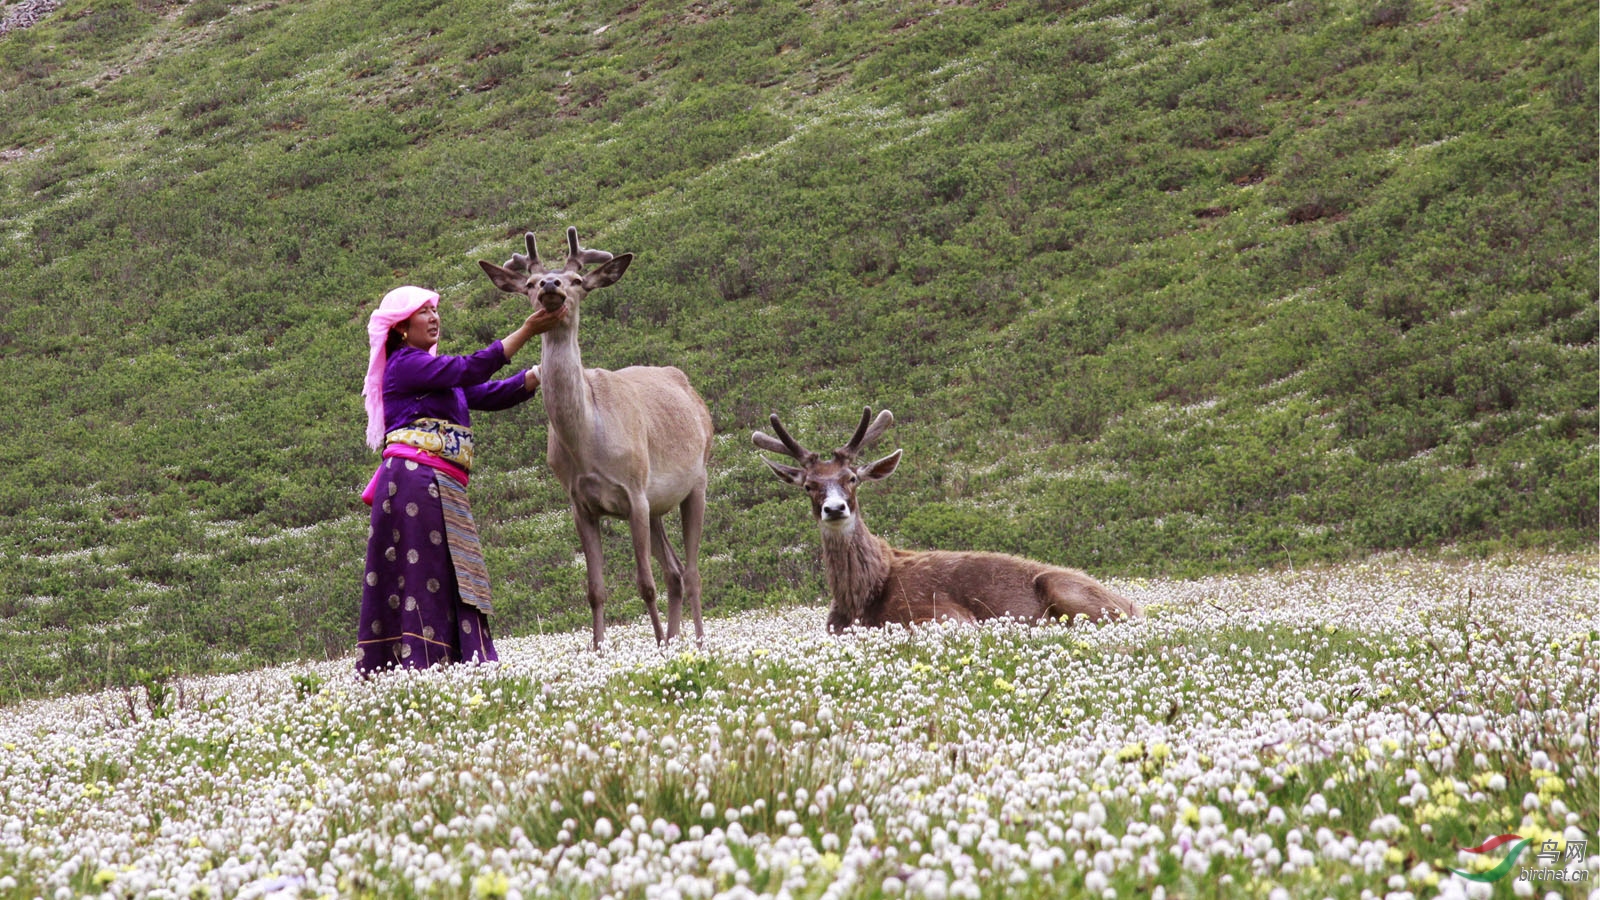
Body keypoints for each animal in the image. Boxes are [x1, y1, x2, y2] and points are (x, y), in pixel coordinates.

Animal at [476, 224, 716, 643]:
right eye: (530, 283)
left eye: (576, 280)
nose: (551, 284)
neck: (586, 443)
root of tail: (691, 392)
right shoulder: (580, 504)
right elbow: (595, 590)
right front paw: (600, 649)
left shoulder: (634, 492)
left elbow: (644, 584)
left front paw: (654, 645)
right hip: (658, 505)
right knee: (674, 572)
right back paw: (673, 641)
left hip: (697, 479)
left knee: (692, 571)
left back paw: (696, 642)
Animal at [752, 406, 1139, 630]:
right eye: (809, 485)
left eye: (852, 479)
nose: (834, 508)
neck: (863, 597)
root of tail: (1135, 606)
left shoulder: (944, 612)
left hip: (1066, 589)